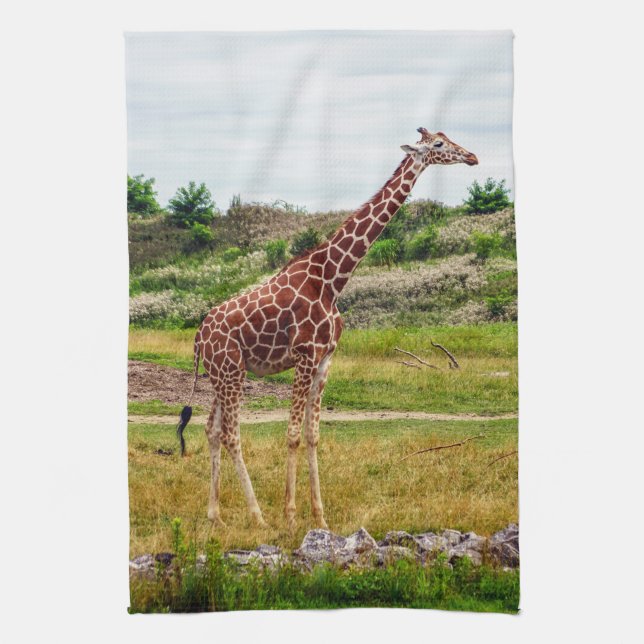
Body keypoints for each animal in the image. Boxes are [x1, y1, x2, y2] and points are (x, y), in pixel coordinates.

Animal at [176, 127, 478, 530]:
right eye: (440, 144)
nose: (472, 156)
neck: (333, 279)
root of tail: (198, 337)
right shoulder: (305, 355)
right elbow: (291, 434)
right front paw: (290, 516)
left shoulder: (325, 360)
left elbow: (313, 434)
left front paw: (319, 517)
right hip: (231, 373)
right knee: (230, 433)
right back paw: (258, 516)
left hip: (222, 374)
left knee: (211, 429)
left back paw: (215, 515)